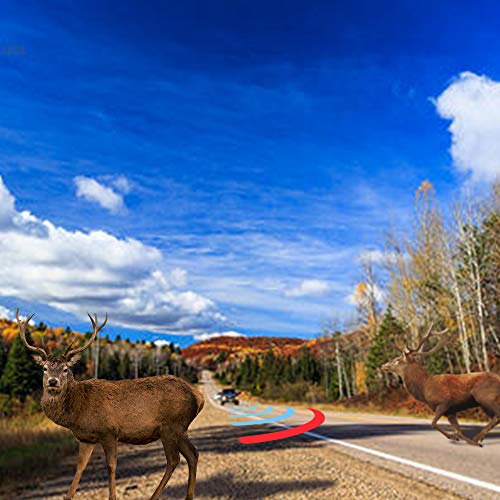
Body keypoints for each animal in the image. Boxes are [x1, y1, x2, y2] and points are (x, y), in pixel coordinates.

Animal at [16, 308, 203, 500]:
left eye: (66, 369)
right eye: (44, 368)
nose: (53, 381)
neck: (78, 408)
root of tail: (198, 395)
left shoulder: (109, 432)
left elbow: (111, 466)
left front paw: (112, 496)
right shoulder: (86, 438)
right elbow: (80, 467)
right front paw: (68, 496)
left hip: (170, 426)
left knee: (174, 459)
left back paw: (155, 496)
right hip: (181, 429)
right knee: (193, 454)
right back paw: (188, 496)